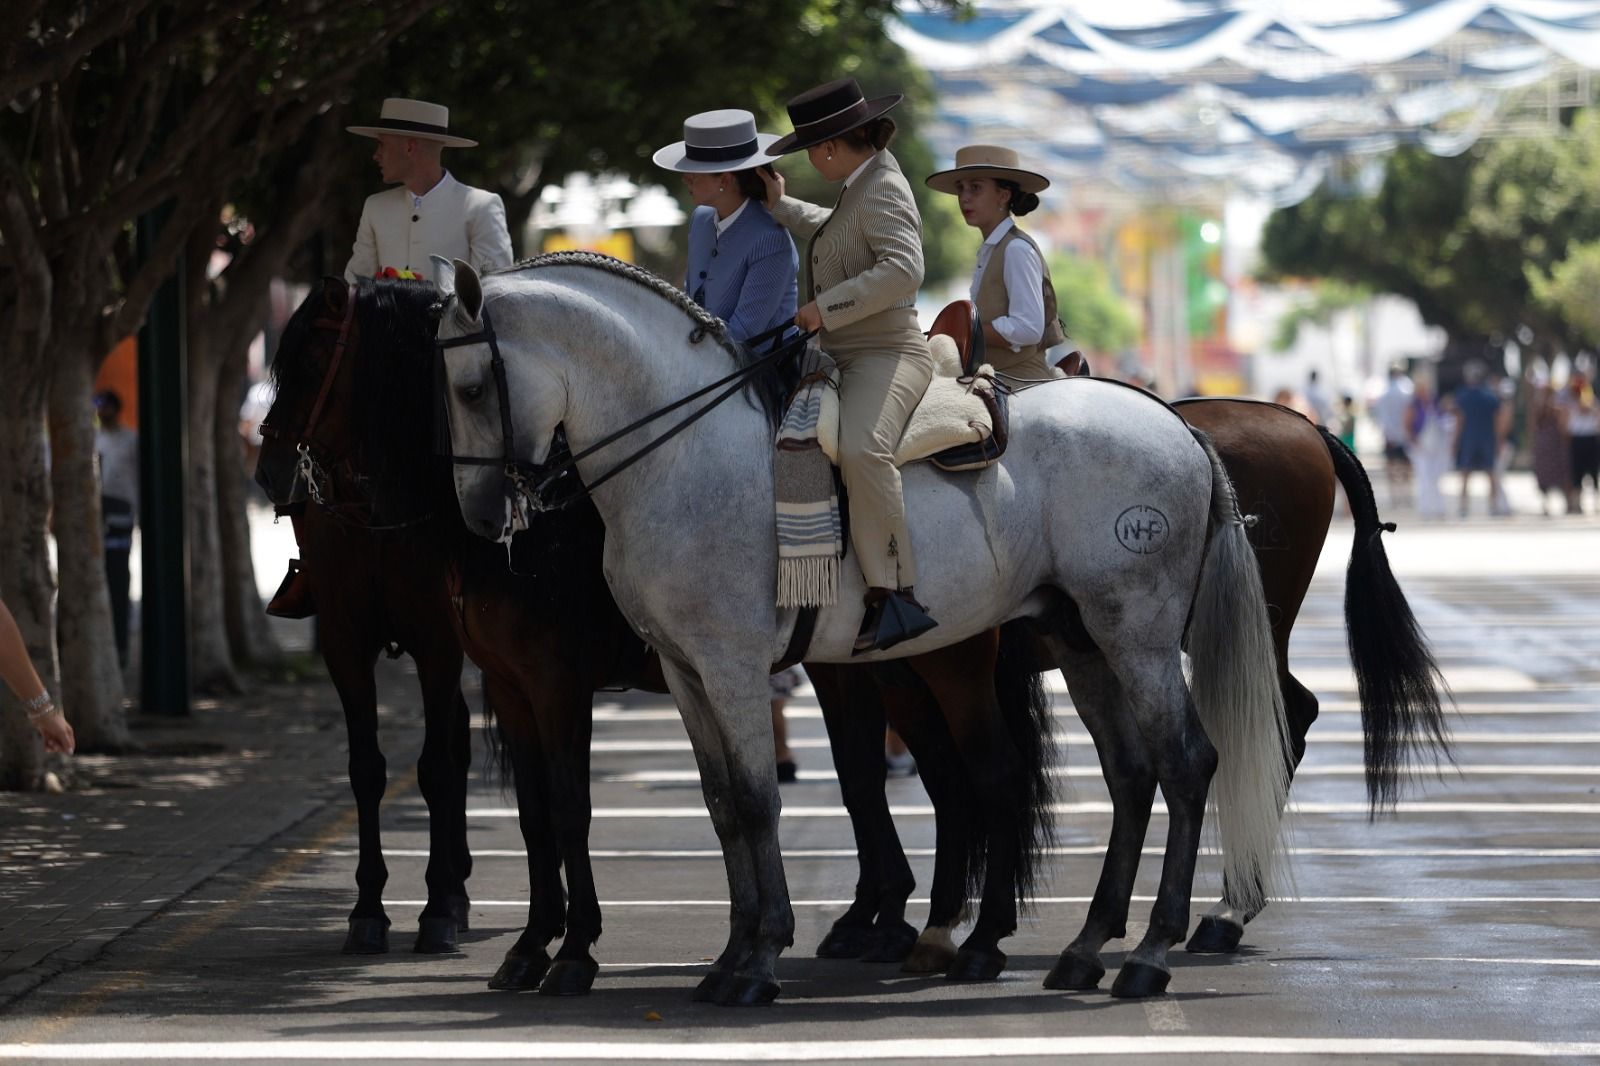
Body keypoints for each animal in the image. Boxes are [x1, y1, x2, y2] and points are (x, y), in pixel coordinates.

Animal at [432, 252, 1292, 998]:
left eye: (470, 388)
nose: (480, 516)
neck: (682, 456)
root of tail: (1174, 425)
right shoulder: (684, 674)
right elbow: (720, 804)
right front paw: (731, 951)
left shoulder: (725, 669)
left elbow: (754, 801)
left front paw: (757, 958)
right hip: (1083, 644)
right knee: (1129, 774)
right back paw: (1082, 948)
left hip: (1134, 639)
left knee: (1183, 764)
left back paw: (1148, 950)